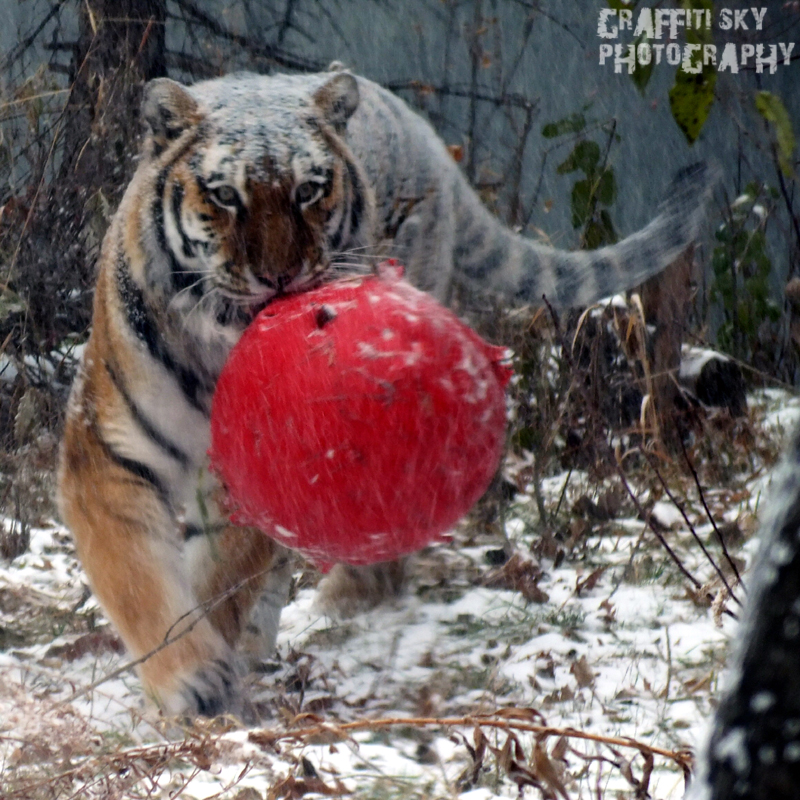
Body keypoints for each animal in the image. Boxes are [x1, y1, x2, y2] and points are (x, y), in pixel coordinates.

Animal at [57, 67, 716, 718]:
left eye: (308, 190)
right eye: (224, 196)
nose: (279, 277)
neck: (216, 345)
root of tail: (422, 132)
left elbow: (222, 576)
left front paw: (203, 685)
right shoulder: (106, 451)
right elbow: (137, 576)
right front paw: (190, 677)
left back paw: (350, 597)